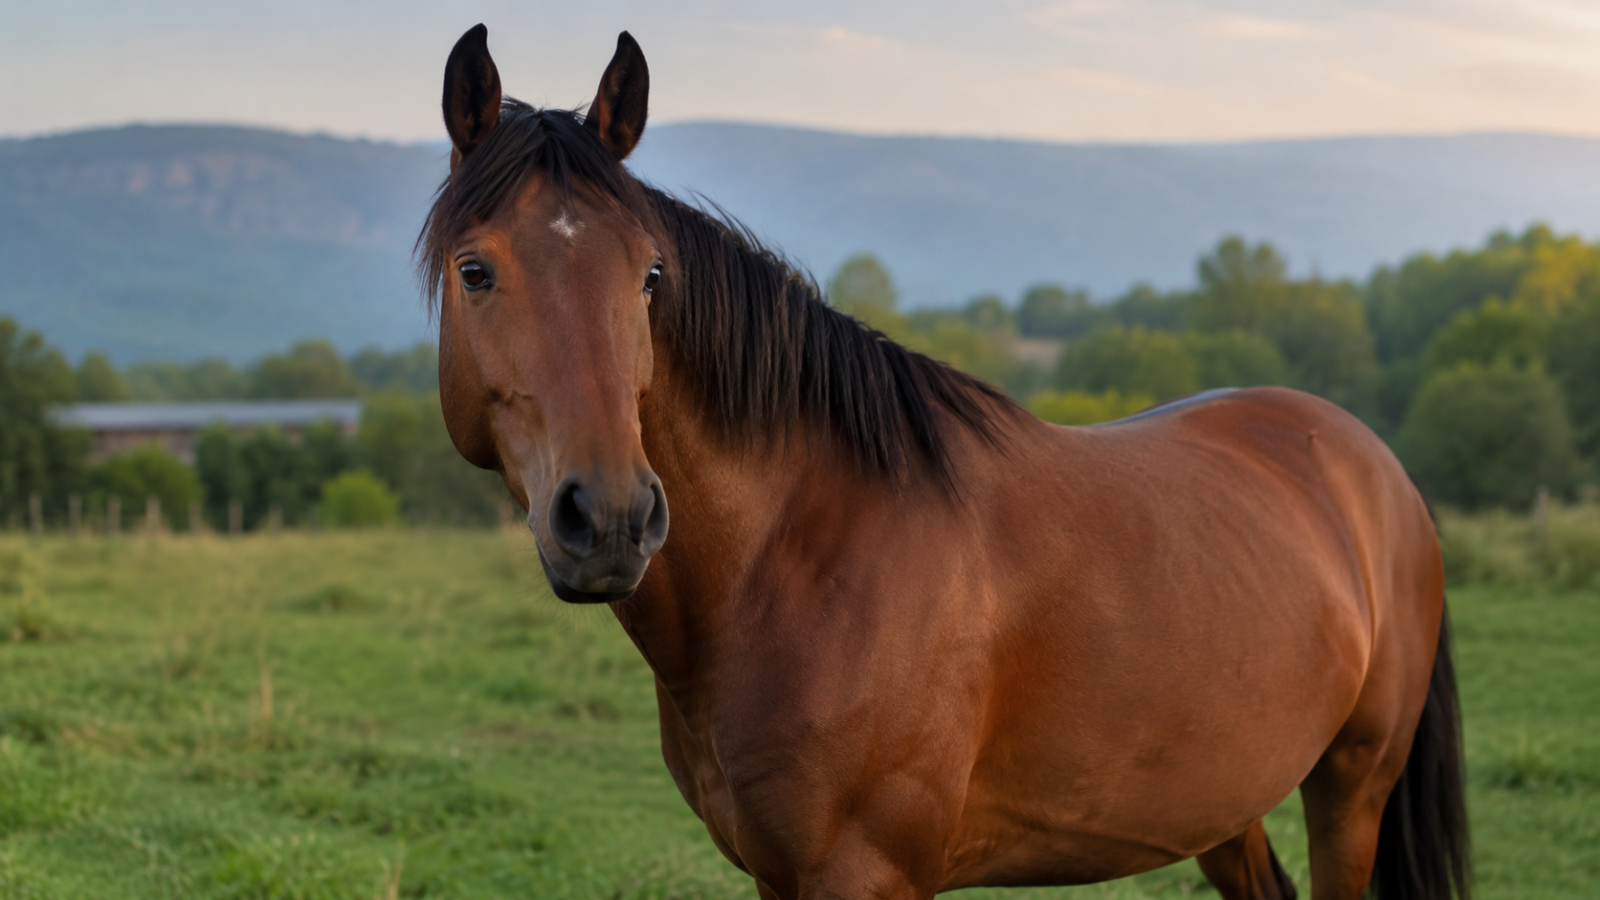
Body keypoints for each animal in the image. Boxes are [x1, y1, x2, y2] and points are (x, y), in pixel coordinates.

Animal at [420, 25, 1470, 900]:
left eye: (648, 275)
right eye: (476, 271)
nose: (610, 520)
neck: (796, 559)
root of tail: (1373, 467)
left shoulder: (866, 874)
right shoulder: (776, 876)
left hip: (1351, 790)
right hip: (1223, 802)